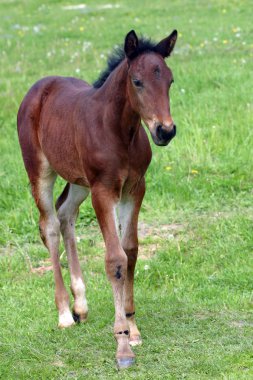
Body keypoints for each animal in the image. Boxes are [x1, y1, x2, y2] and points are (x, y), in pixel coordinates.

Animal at [16, 29, 178, 368]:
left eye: (170, 80)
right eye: (137, 81)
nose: (165, 131)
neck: (119, 131)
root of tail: (38, 87)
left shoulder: (134, 188)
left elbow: (131, 251)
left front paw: (133, 327)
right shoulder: (104, 191)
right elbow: (115, 259)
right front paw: (122, 344)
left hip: (79, 181)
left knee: (66, 214)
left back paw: (81, 304)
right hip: (41, 171)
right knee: (50, 225)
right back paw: (65, 313)